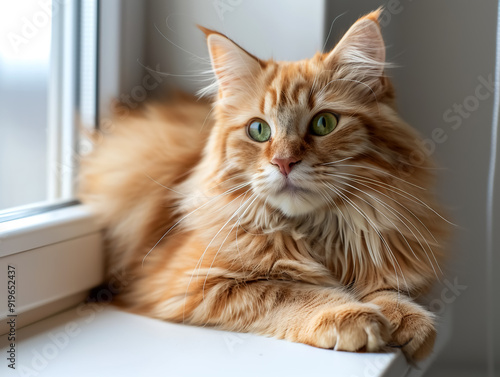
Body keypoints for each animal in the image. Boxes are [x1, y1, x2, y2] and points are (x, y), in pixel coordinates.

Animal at [80, 10, 448, 360]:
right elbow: (291, 292)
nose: (284, 162)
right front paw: (350, 314)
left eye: (324, 123)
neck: (318, 232)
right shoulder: (193, 282)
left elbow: (384, 287)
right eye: (259, 130)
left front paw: (403, 316)